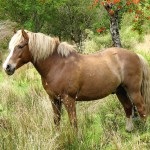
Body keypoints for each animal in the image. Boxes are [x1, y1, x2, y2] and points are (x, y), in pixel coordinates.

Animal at [2, 29, 150, 131]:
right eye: (10, 47)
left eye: (20, 46)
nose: (7, 67)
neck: (57, 65)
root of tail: (136, 55)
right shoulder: (54, 99)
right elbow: (57, 120)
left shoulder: (69, 99)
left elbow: (73, 122)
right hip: (120, 91)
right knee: (128, 107)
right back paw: (129, 130)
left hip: (133, 90)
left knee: (141, 108)